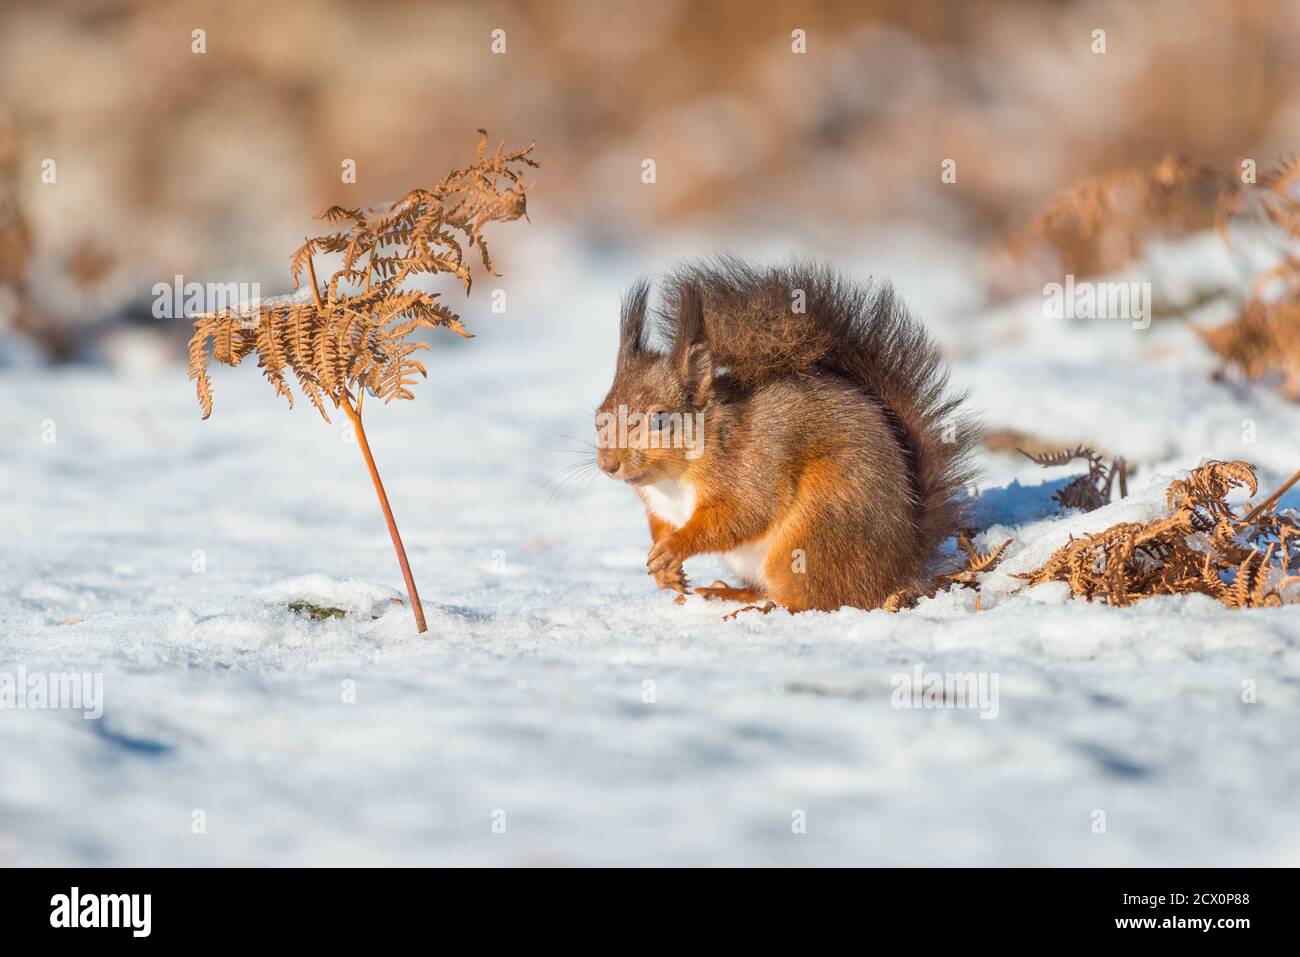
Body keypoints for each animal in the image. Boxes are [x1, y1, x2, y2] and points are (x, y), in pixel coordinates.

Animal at [590, 257, 977, 608]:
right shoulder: (660, 507)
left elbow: (743, 514)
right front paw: (664, 570)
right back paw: (729, 593)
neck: (671, 481)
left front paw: (673, 548)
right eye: (599, 417)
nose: (609, 465)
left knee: (820, 598)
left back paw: (763, 607)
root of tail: (904, 560)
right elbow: (660, 523)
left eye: (660, 420)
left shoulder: (749, 469)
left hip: (816, 529)